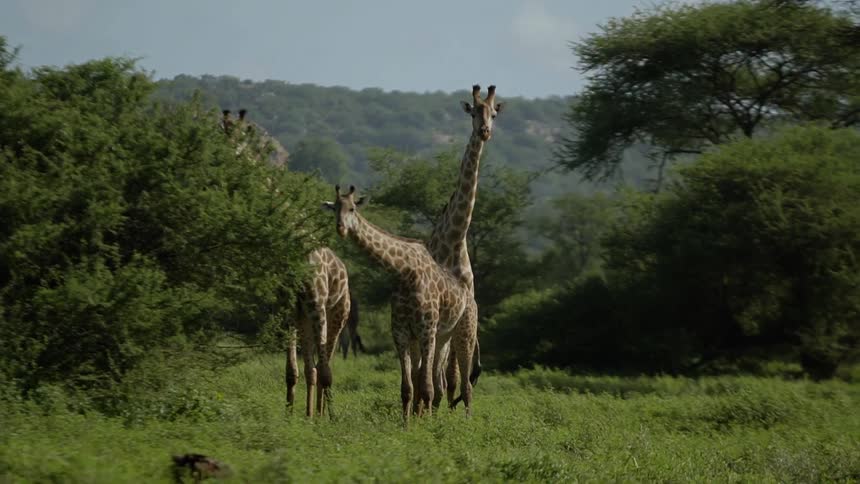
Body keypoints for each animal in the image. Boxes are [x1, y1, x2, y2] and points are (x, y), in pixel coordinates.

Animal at [285, 247, 351, 418]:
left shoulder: (312, 309)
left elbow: (321, 371)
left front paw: (331, 417)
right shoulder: (291, 312)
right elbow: (295, 369)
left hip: (328, 314)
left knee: (320, 366)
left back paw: (317, 415)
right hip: (311, 316)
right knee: (317, 368)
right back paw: (315, 415)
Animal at [323, 185, 477, 423]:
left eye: (352, 208)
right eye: (335, 208)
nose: (340, 228)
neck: (404, 271)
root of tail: (468, 294)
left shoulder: (425, 330)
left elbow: (425, 386)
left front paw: (427, 425)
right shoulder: (401, 331)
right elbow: (408, 388)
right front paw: (407, 424)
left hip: (465, 331)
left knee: (465, 384)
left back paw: (466, 423)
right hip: (444, 337)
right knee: (442, 381)